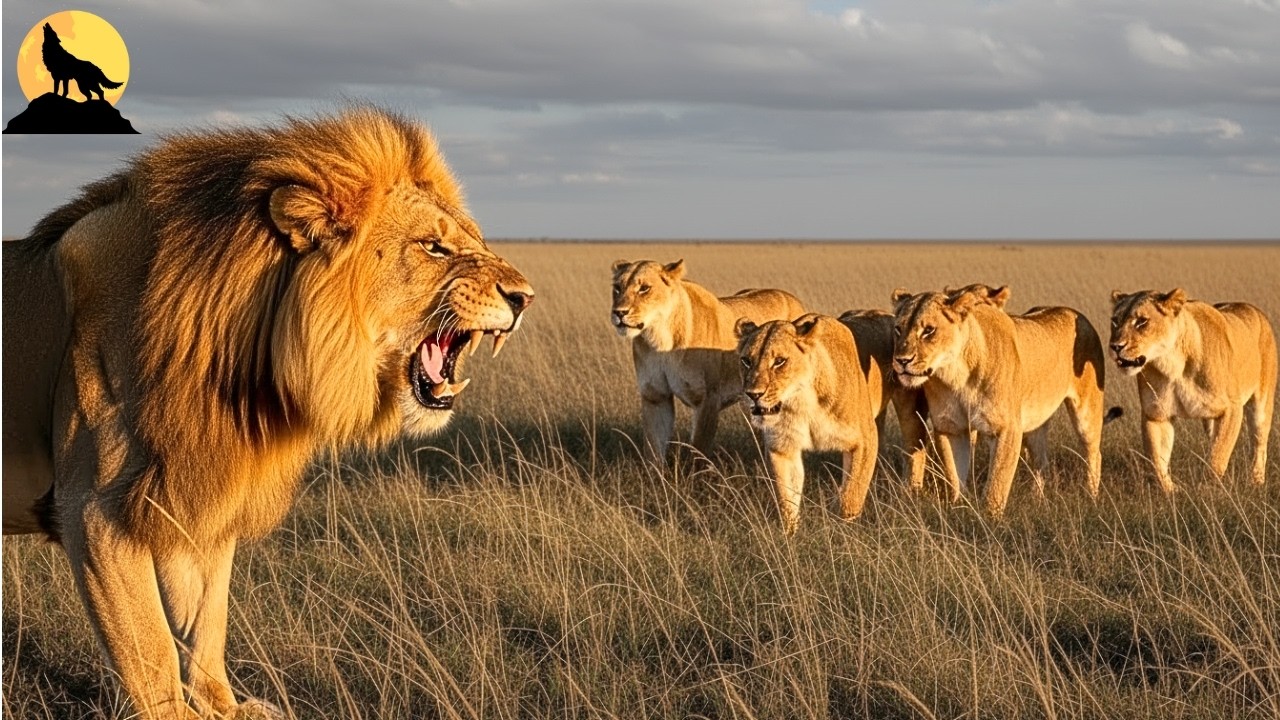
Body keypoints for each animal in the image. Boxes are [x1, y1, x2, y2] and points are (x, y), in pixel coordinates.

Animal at [2, 108, 534, 719]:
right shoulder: (94, 511)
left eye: (475, 240)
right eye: (433, 248)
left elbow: (204, 621)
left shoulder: (197, 492)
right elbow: (151, 652)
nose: (525, 297)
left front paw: (226, 707)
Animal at [610, 259, 804, 465]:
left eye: (644, 288)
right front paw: (654, 474)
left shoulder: (707, 398)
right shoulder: (655, 396)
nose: (619, 313)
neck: (659, 338)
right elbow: (653, 449)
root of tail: (793, 298)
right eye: (617, 288)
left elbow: (698, 451)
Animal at [735, 313, 925, 534]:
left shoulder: (864, 440)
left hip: (910, 407)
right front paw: (789, 535)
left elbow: (851, 496)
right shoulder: (782, 447)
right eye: (746, 361)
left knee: (915, 446)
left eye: (779, 361)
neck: (801, 403)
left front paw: (844, 534)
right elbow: (786, 498)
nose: (753, 394)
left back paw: (912, 492)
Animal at [890, 284, 1113, 516]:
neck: (955, 375)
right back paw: (1037, 501)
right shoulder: (950, 428)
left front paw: (989, 519)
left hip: (1086, 412)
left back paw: (1091, 497)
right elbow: (954, 475)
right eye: (898, 329)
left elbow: (996, 482)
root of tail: (1076, 313)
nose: (901, 361)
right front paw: (958, 508)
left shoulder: (1006, 428)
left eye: (929, 330)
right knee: (1041, 461)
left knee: (1093, 454)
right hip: (1035, 424)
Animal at [1109, 288, 1277, 491]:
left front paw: (1208, 491)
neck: (1171, 364)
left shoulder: (1232, 408)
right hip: (1209, 419)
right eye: (1115, 321)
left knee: (1259, 444)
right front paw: (1170, 492)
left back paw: (1256, 481)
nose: (1115, 347)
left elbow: (1218, 456)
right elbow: (1157, 459)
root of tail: (1253, 309)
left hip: (1261, 405)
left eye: (1142, 321)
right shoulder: (1156, 414)